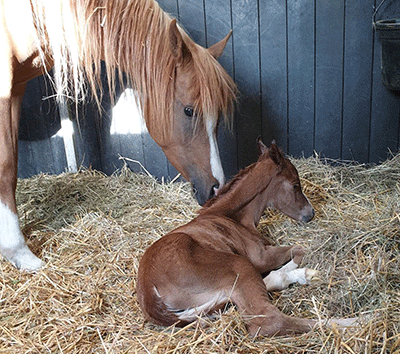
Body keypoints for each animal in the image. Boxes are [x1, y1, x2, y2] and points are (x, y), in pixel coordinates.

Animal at [138, 140, 318, 336]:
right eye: (295, 185)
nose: (311, 214)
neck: (232, 217)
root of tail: (149, 294)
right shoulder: (261, 258)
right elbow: (299, 249)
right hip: (239, 264)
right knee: (267, 320)